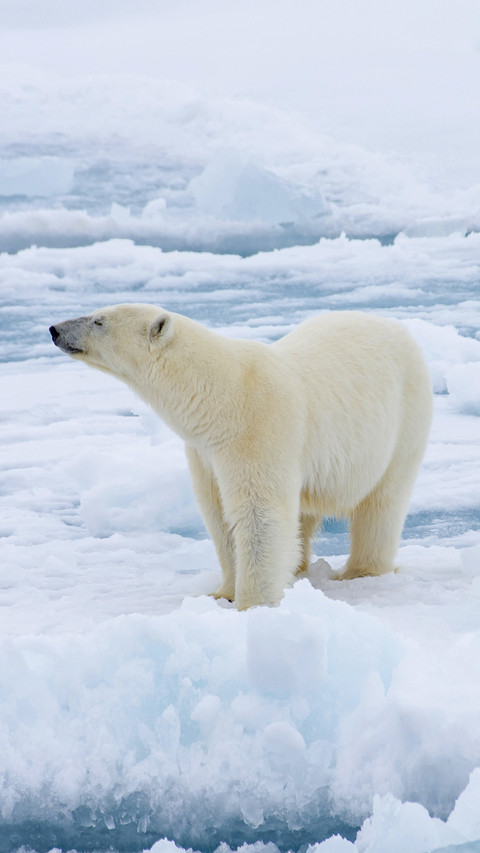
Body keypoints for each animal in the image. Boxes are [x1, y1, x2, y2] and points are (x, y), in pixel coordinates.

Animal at [50, 304, 433, 610]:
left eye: (99, 320)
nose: (55, 329)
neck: (220, 398)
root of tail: (393, 325)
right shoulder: (205, 451)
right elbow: (219, 515)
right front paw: (221, 593)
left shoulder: (257, 431)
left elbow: (257, 514)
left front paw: (252, 604)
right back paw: (299, 567)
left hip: (403, 420)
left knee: (382, 503)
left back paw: (360, 571)